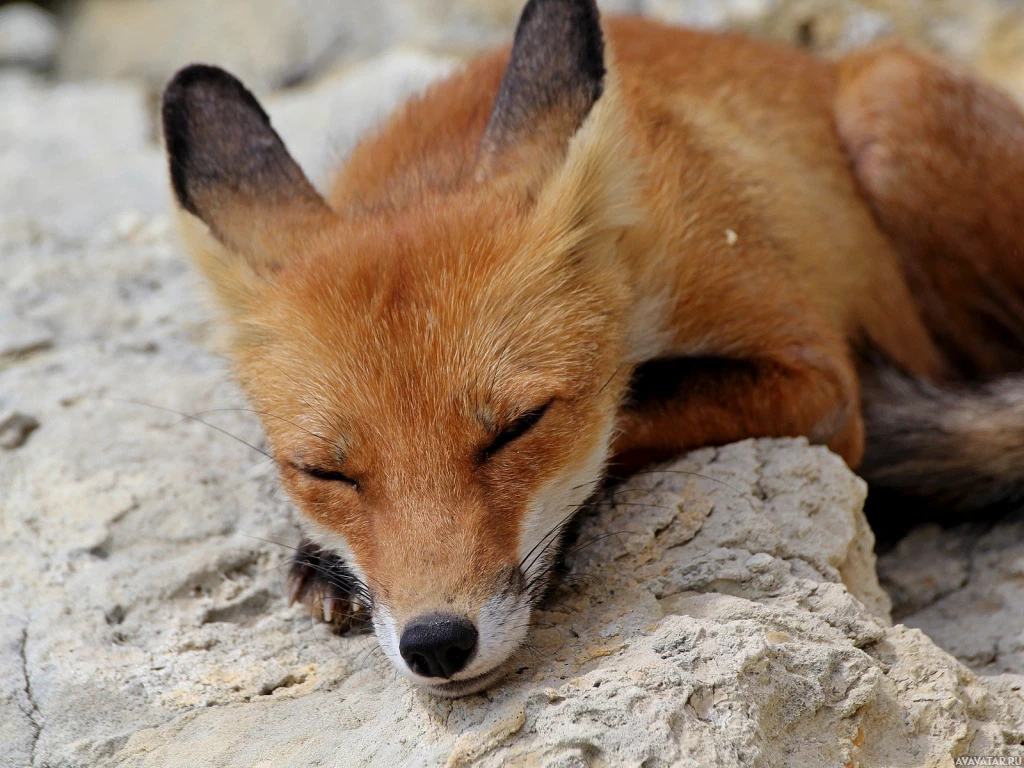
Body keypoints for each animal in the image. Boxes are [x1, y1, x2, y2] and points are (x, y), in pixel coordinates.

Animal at [161, 0, 1024, 696]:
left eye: (518, 429)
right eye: (325, 473)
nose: (436, 643)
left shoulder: (818, 378)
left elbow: (635, 411)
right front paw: (319, 556)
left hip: (892, 114)